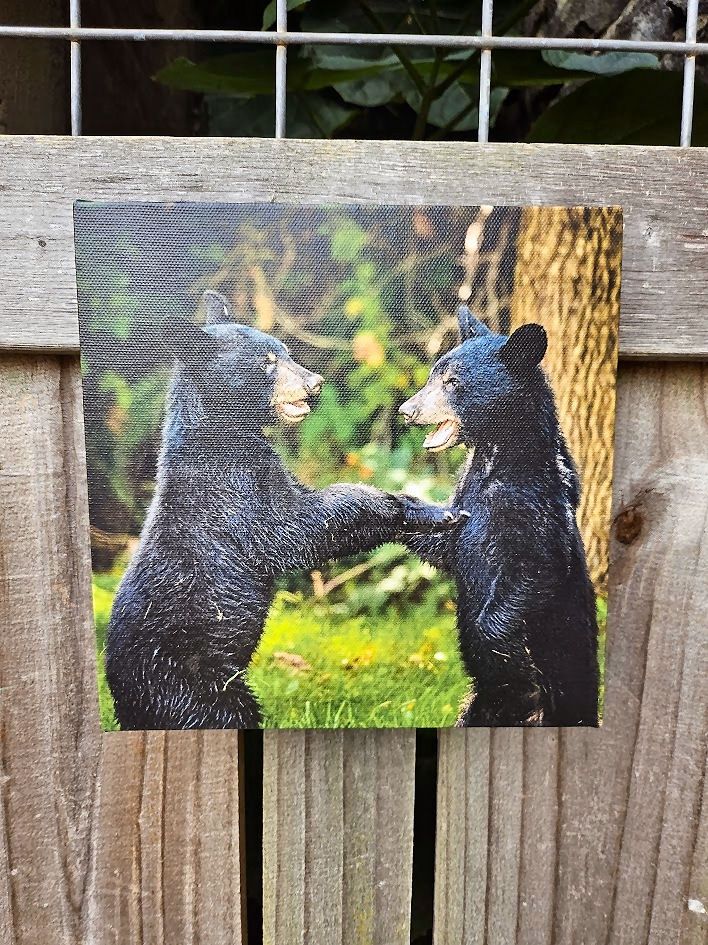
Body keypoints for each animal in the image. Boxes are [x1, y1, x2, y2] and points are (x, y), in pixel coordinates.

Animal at [105, 290, 465, 730]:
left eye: (286, 352)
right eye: (267, 361)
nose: (315, 383)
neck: (223, 433)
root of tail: (125, 704)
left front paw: (434, 510)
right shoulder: (231, 488)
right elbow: (291, 529)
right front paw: (407, 509)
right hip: (189, 683)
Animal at [398, 305, 599, 727]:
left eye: (452, 382)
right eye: (432, 376)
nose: (407, 411)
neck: (497, 458)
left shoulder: (536, 507)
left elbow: (536, 570)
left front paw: (511, 663)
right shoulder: (468, 494)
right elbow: (444, 543)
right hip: (475, 711)